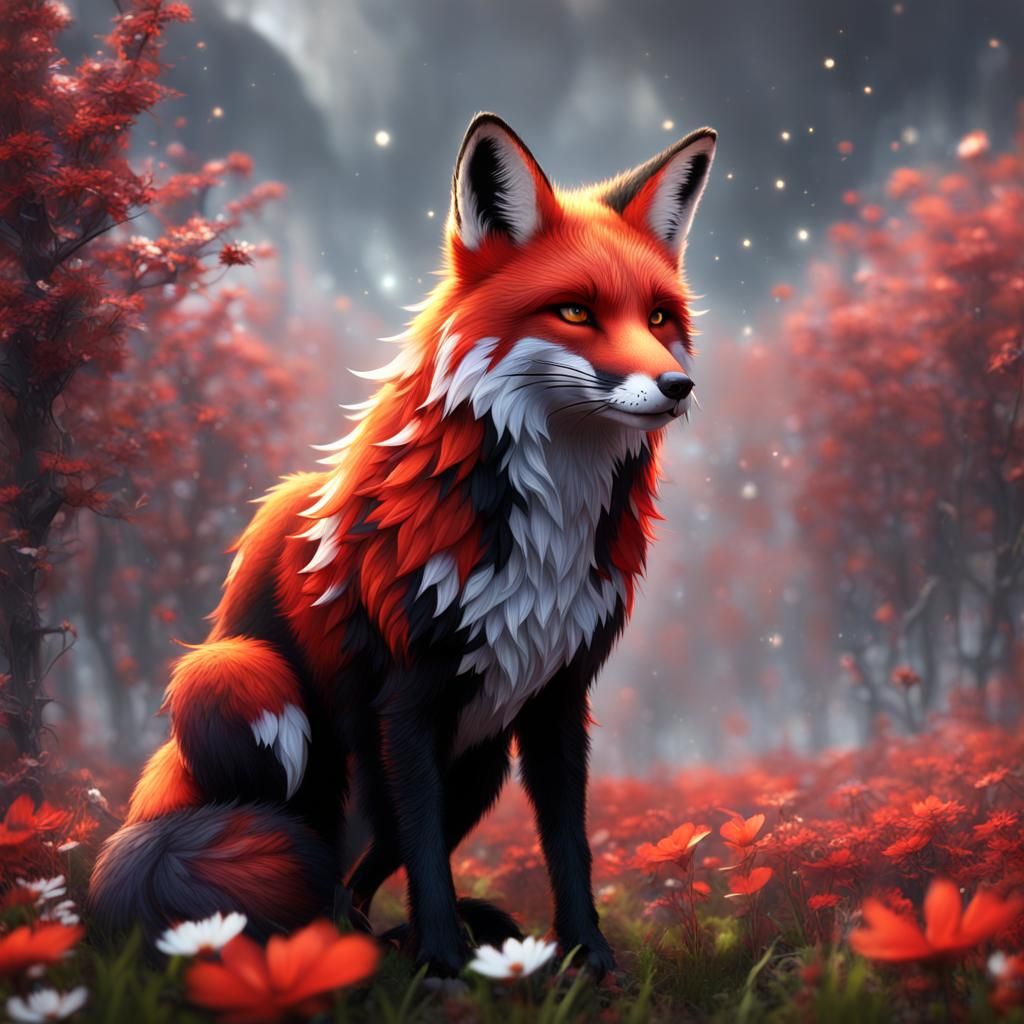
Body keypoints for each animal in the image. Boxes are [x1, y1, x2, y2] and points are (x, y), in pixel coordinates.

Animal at [88, 113, 717, 976]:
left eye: (658, 318)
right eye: (575, 313)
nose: (677, 388)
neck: (545, 543)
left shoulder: (558, 700)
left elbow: (568, 847)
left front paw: (590, 964)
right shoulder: (407, 700)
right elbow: (427, 861)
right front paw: (446, 971)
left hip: (477, 767)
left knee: (355, 879)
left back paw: (374, 945)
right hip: (256, 694)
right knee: (313, 864)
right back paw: (343, 954)